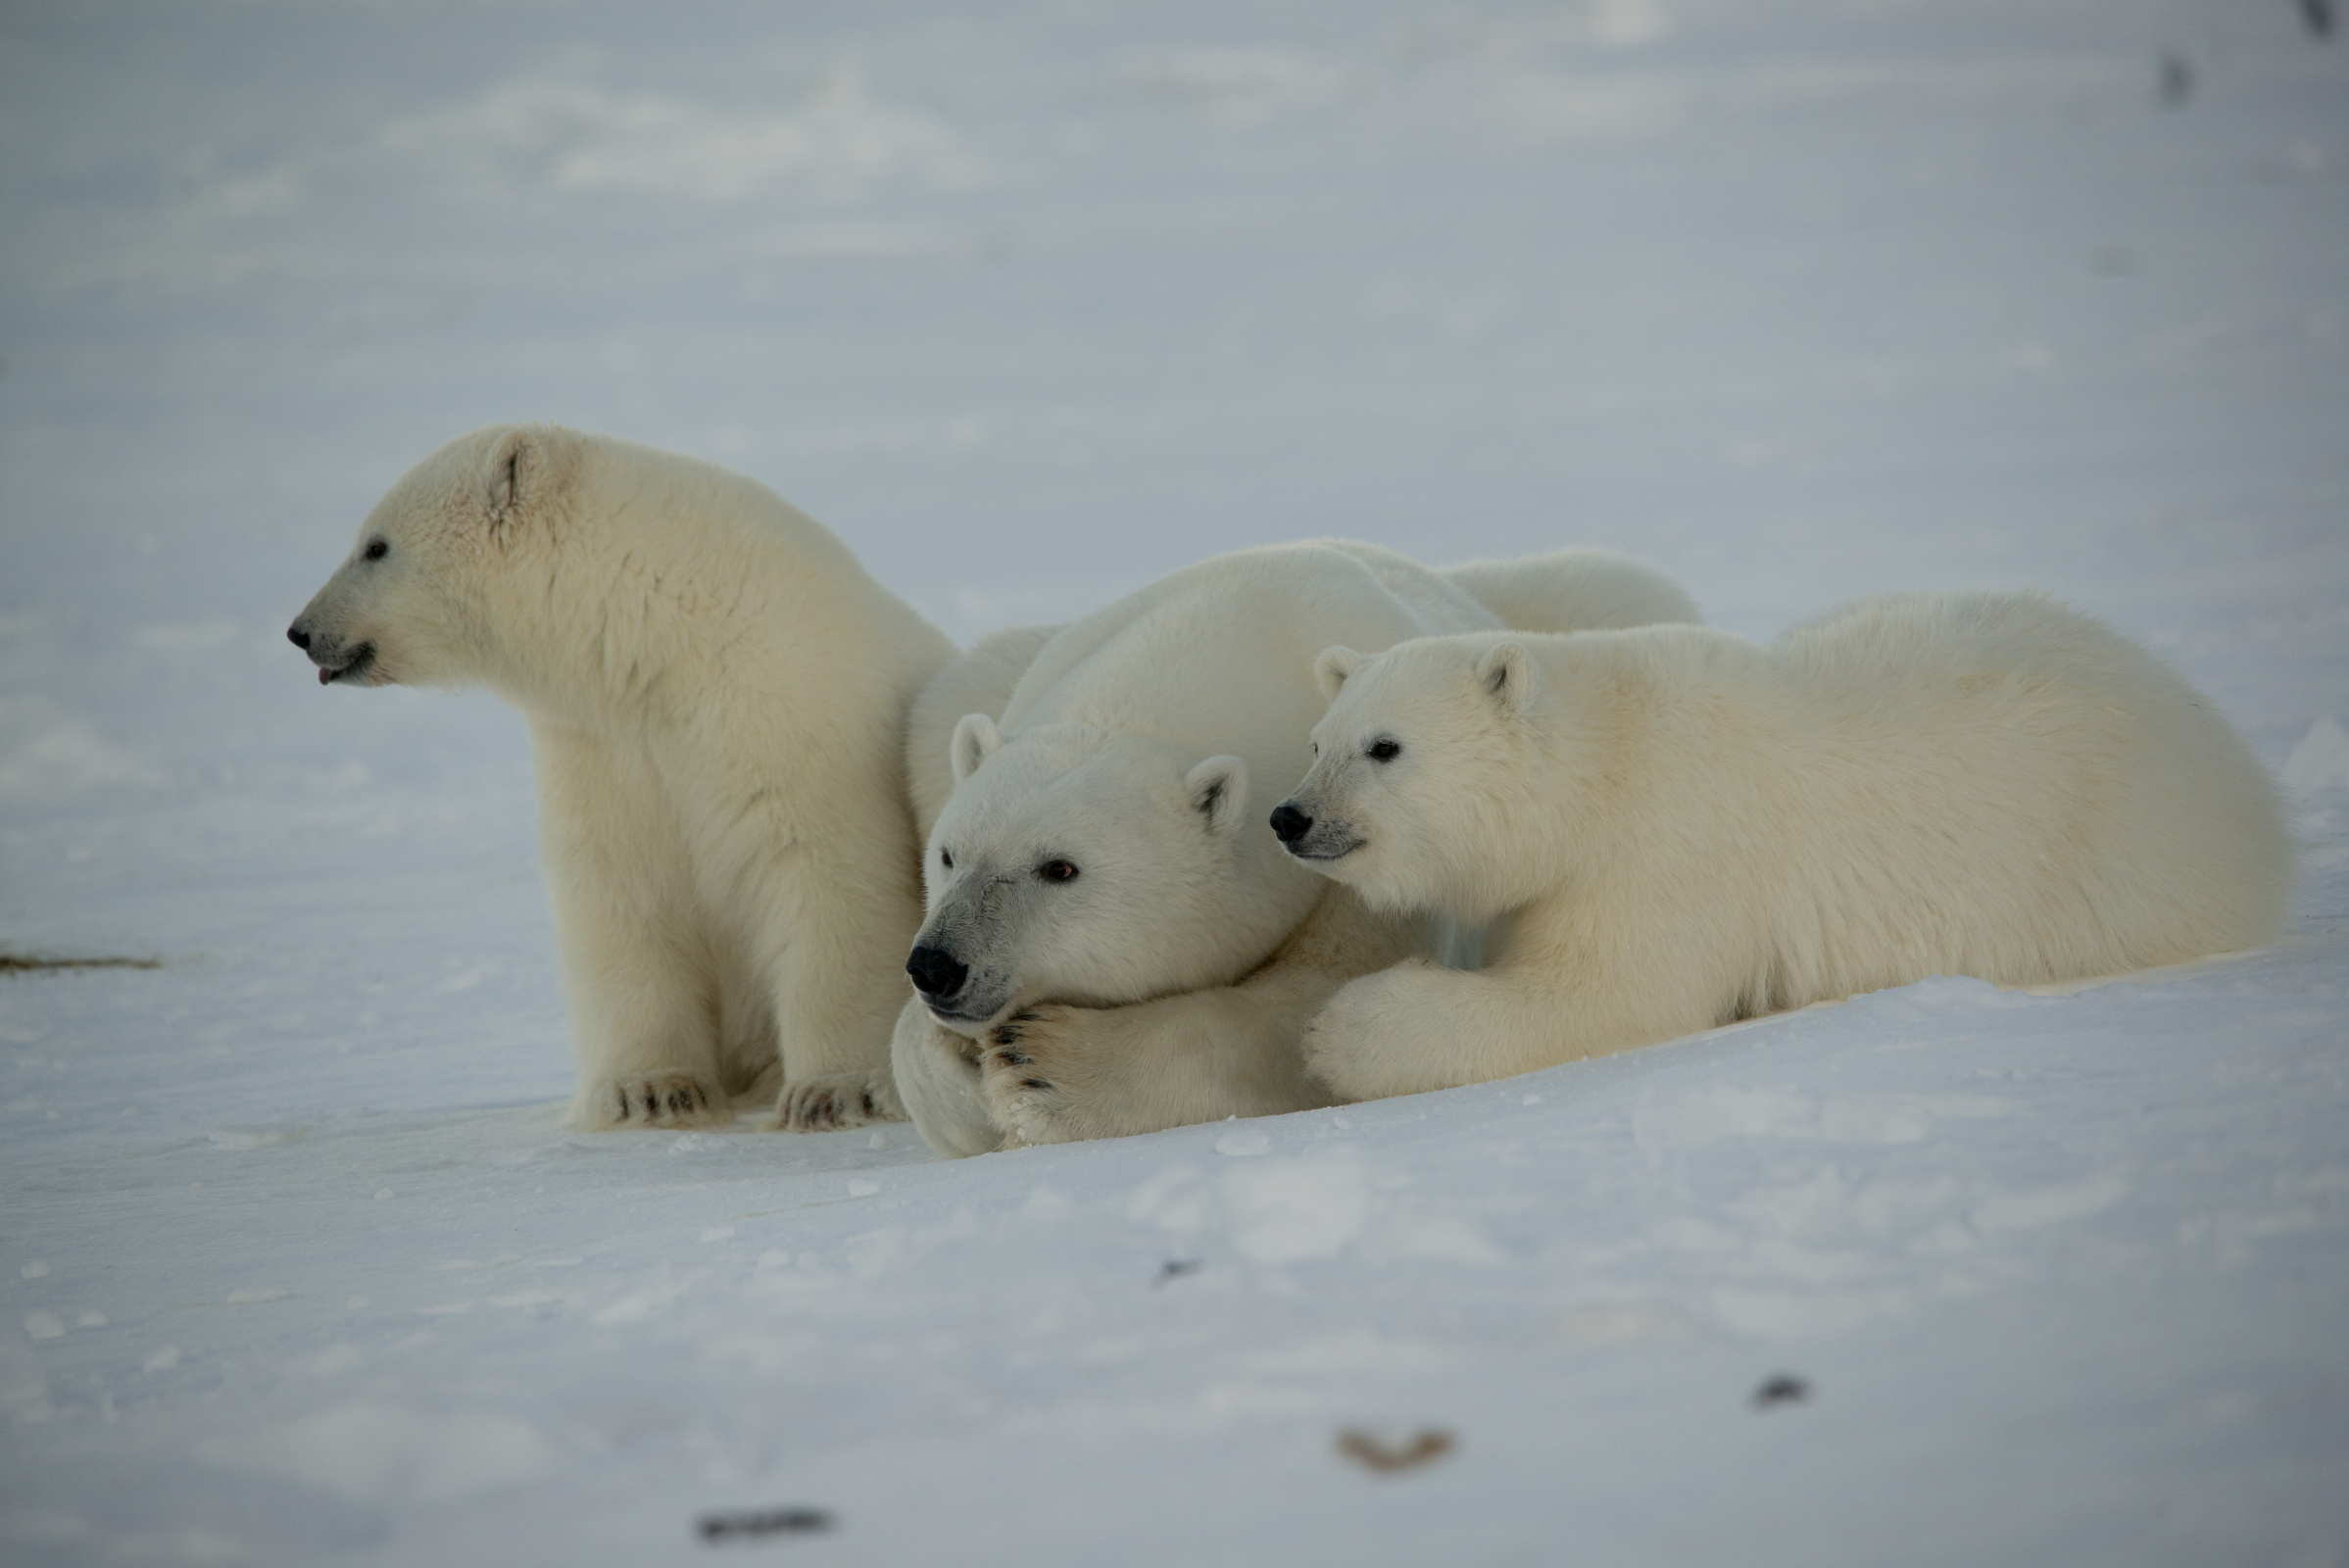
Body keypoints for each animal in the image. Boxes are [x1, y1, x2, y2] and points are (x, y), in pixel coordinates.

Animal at [288, 422, 949, 1131]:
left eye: (375, 545)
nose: (301, 631)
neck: (664, 637)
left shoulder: (788, 712)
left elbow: (827, 875)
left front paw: (836, 1091)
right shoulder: (605, 744)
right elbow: (619, 890)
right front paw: (653, 1090)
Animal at [888, 539, 1700, 1150]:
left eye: (1059, 868)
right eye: (949, 854)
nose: (938, 965)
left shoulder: (1358, 854)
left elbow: (1304, 1009)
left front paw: (1044, 1063)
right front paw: (958, 1070)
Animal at [1277, 591, 2282, 1102]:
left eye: (1384, 747)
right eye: (1318, 740)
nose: (1289, 818)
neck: (1604, 763)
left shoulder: (1662, 853)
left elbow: (1599, 1000)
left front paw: (1337, 1029)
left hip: (2111, 861)